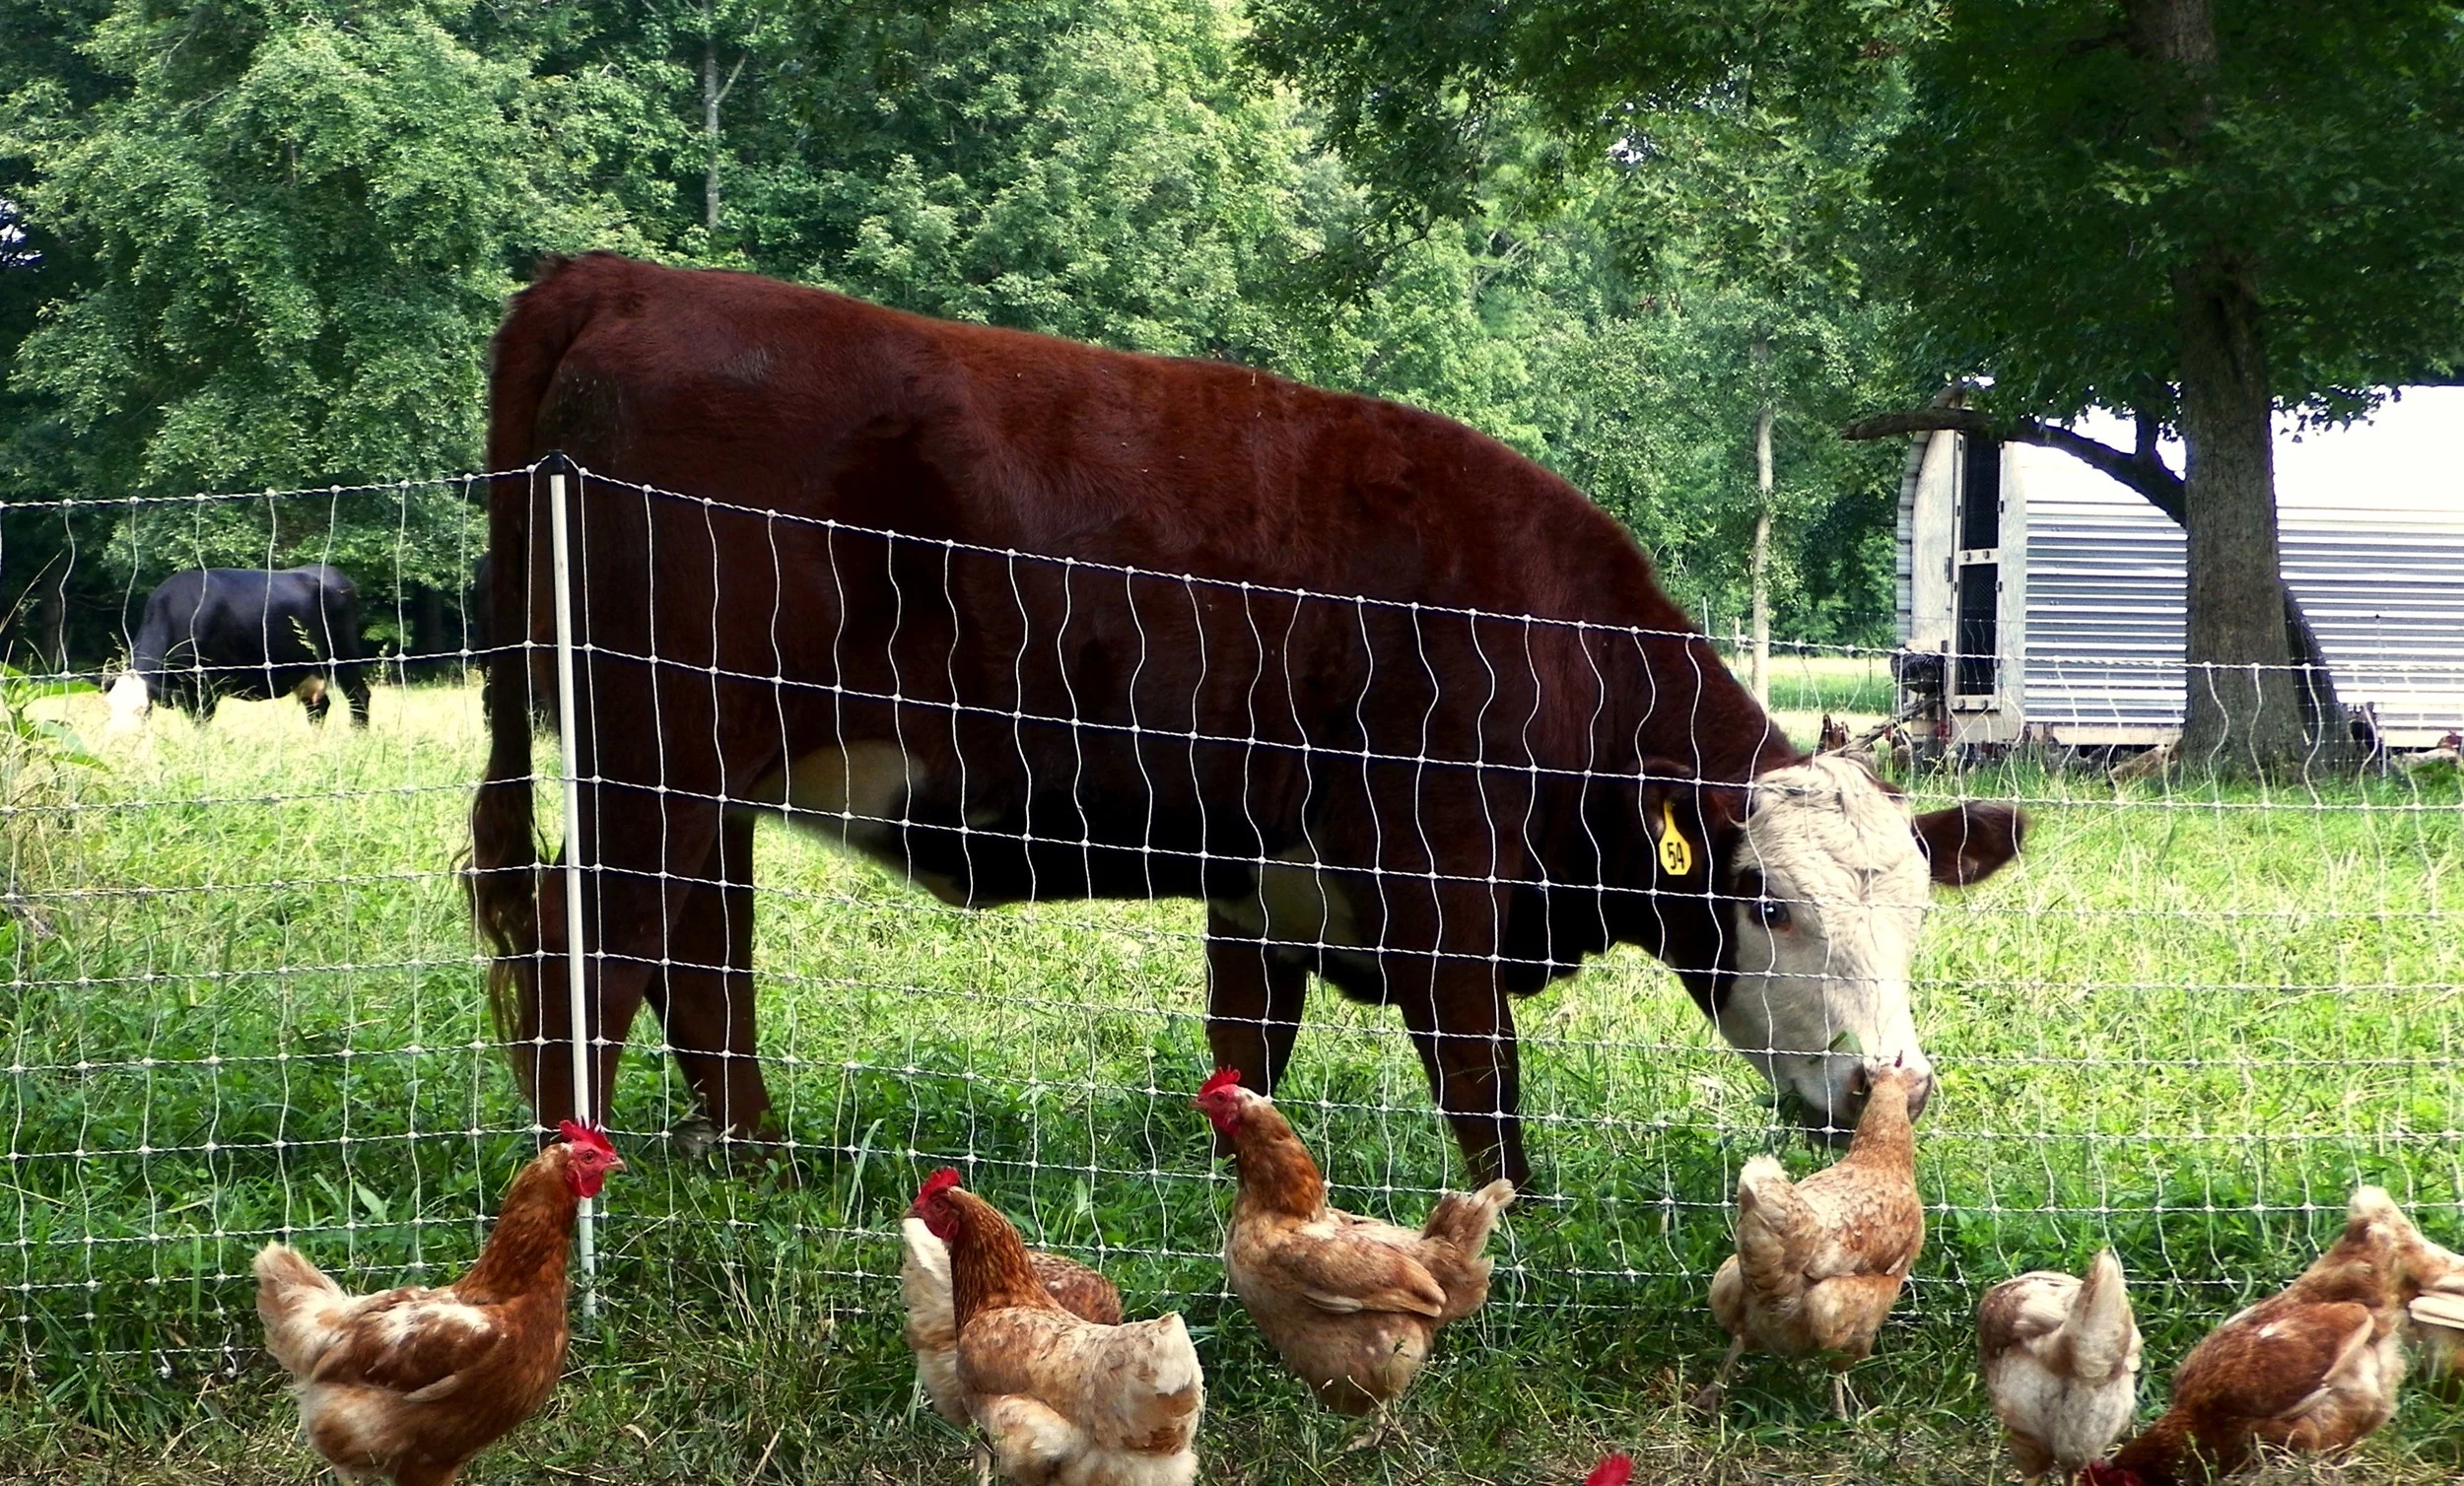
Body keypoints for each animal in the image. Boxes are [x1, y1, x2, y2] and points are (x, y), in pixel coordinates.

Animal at [114, 565, 372, 728]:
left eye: (142, 710)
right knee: (318, 707)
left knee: (359, 697)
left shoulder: (206, 687)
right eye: (111, 707)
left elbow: (201, 723)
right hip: (307, 669)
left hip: (344, 654)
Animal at [469, 254, 2023, 1186]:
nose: (1897, 1088)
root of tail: (623, 276)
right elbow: (1482, 1074)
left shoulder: (1263, 878)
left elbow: (1249, 1055)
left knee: (700, 959)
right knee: (590, 947)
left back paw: (758, 1161)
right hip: (658, 759)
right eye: (1767, 904)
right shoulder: (1437, 875)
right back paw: (579, 1184)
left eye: (1915, 913)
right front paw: (1507, 1233)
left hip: (710, 777)